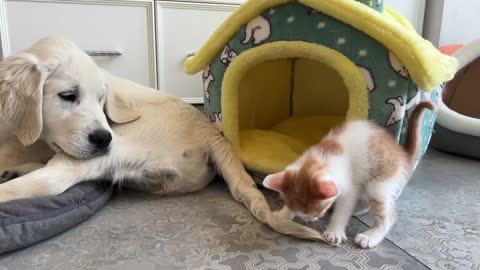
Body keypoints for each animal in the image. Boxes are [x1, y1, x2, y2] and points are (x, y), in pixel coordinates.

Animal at [262, 101, 436, 249]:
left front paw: (334, 232)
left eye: (319, 211)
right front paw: (283, 214)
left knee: (388, 215)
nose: (308, 220)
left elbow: (343, 209)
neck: (321, 159)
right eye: (297, 210)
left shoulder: (350, 186)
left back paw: (370, 236)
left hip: (379, 181)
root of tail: (402, 153)